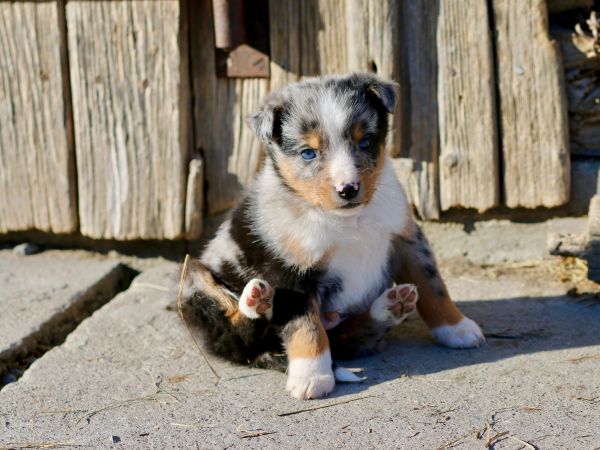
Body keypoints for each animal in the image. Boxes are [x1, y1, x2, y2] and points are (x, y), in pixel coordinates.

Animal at [182, 74, 482, 400]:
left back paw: (390, 307)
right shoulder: (291, 271)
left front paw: (457, 329)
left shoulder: (406, 238)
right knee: (238, 334)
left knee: (347, 337)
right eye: (308, 153)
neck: (346, 220)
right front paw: (311, 376)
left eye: (365, 142)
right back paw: (257, 300)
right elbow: (306, 325)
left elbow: (432, 286)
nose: (348, 189)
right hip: (194, 279)